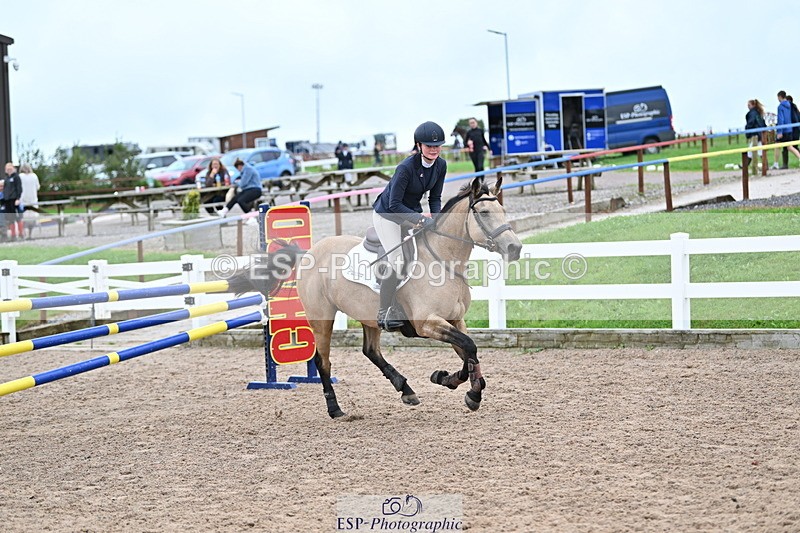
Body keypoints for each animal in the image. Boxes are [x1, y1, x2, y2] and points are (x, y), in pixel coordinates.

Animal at [230, 176, 522, 418]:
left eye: (503, 211)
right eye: (484, 213)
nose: (515, 248)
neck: (443, 260)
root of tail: (308, 253)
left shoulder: (455, 320)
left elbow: (469, 352)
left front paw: (453, 382)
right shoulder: (427, 323)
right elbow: (469, 348)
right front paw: (468, 391)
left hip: (368, 316)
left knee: (370, 350)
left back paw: (405, 389)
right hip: (322, 318)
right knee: (323, 361)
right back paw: (336, 409)